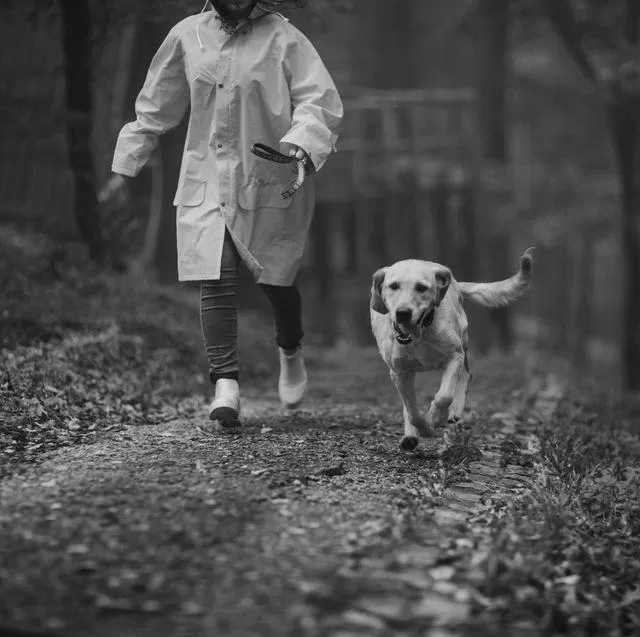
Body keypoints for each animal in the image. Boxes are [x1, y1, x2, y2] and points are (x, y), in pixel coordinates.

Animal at [370, 246, 536, 450]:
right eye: (393, 286)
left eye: (421, 288)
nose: (402, 313)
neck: (422, 334)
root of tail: (455, 283)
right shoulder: (399, 372)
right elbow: (412, 412)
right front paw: (423, 428)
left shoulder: (453, 356)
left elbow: (444, 396)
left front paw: (435, 418)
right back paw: (410, 436)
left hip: (463, 343)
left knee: (466, 375)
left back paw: (454, 411)